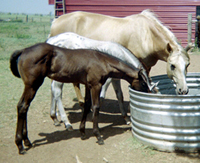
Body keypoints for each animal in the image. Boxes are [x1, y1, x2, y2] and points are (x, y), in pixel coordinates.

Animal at [10, 42, 154, 154]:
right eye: (143, 82)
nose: (147, 93)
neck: (102, 61)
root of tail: (24, 50)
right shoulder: (96, 85)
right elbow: (96, 107)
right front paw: (98, 136)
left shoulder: (87, 85)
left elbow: (86, 105)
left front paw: (83, 132)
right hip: (32, 85)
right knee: (23, 107)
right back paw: (20, 145)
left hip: (31, 86)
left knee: (23, 107)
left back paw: (27, 141)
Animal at [50, 9, 191, 95]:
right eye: (172, 66)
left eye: (187, 65)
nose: (183, 90)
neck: (147, 35)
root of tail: (55, 21)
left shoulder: (147, 66)